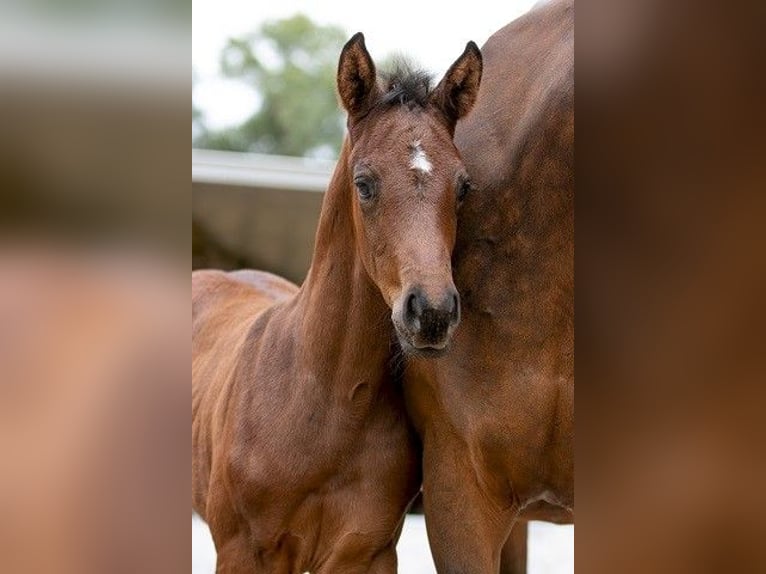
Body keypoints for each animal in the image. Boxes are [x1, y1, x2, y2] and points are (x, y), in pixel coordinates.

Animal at [191, 33, 484, 572]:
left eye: (463, 187)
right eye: (363, 183)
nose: (431, 313)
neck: (325, 400)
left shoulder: (366, 551)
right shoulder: (243, 551)